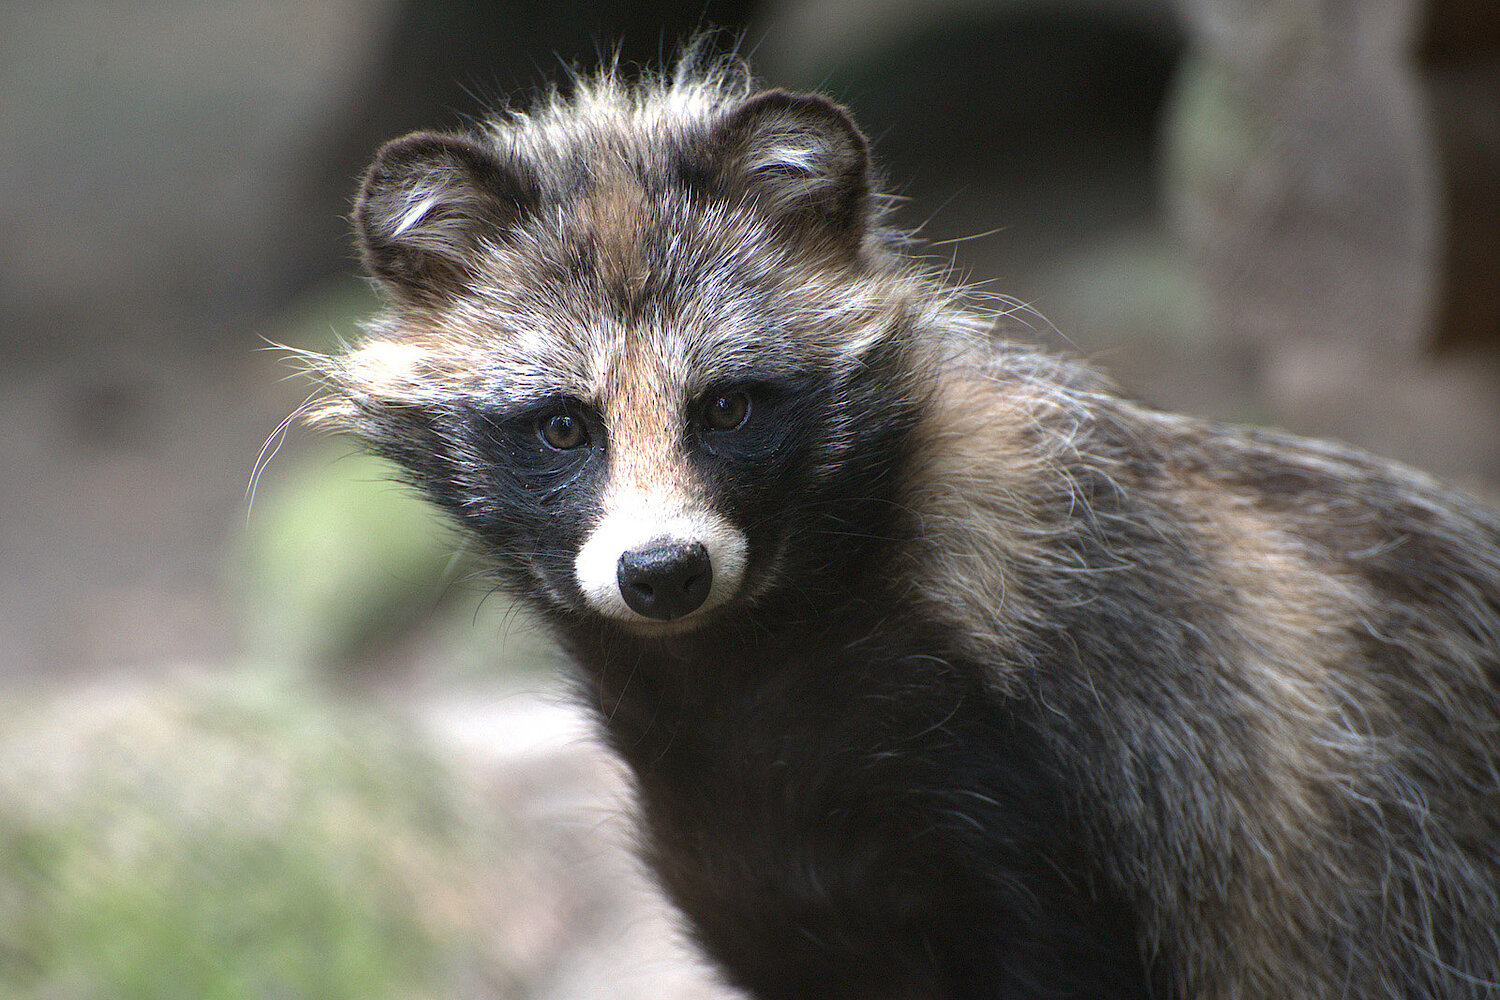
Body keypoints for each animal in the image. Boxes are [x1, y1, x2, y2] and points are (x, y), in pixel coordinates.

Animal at [310, 56, 1500, 1000]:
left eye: (729, 406)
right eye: (563, 424)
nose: (663, 570)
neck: (744, 672)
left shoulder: (1073, 791)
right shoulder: (763, 868)